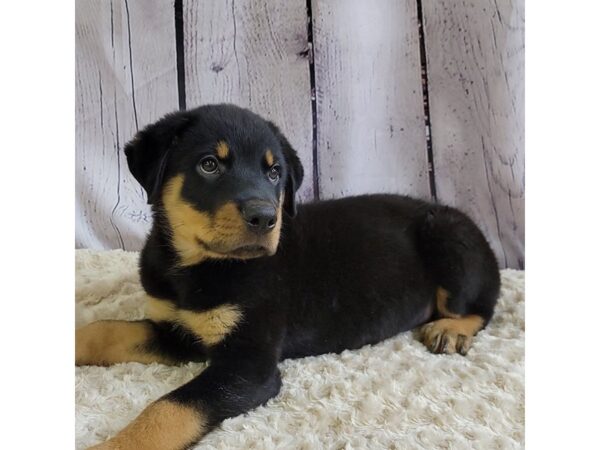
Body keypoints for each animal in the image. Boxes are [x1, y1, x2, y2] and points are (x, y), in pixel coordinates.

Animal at [78, 103, 502, 448]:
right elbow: (106, 330)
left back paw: (450, 329)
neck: (194, 266)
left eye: (274, 173)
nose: (265, 217)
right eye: (209, 164)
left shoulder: (248, 363)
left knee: (482, 305)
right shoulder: (180, 332)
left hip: (448, 235)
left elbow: (170, 408)